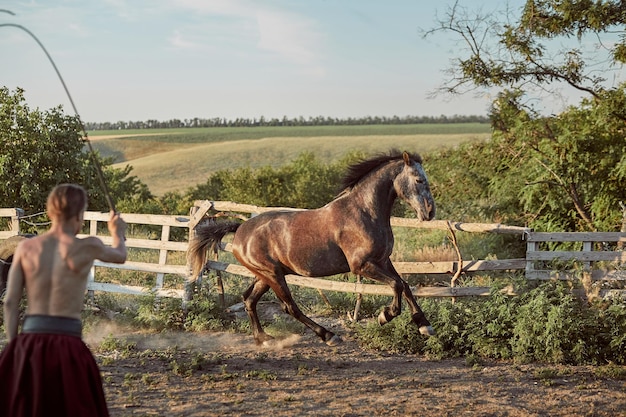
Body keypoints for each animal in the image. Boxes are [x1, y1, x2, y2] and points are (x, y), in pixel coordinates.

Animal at [188, 150, 436, 344]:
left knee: (249, 299)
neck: (364, 212)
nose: (429, 212)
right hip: (273, 275)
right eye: (418, 180)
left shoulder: (383, 260)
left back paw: (264, 339)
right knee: (289, 307)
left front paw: (424, 326)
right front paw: (386, 316)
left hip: (266, 275)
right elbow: (396, 285)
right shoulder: (361, 266)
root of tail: (240, 230)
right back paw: (328, 336)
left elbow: (405, 285)